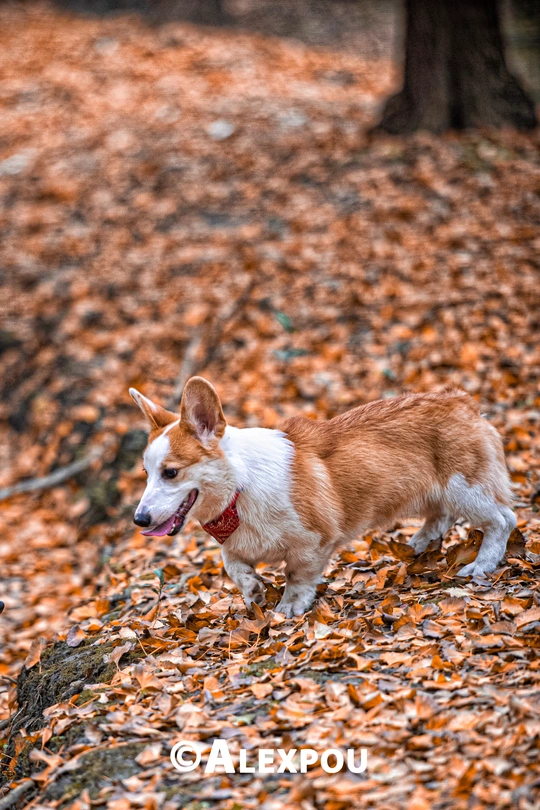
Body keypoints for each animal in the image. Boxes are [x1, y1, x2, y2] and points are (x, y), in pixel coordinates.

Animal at [129, 377, 516, 617]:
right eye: (146, 473)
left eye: (171, 472)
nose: (139, 520)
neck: (241, 487)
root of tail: (462, 400)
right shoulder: (235, 548)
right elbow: (236, 570)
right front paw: (254, 592)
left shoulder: (312, 540)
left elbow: (297, 574)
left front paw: (289, 607)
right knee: (440, 516)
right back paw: (417, 546)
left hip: (466, 488)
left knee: (502, 519)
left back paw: (482, 564)